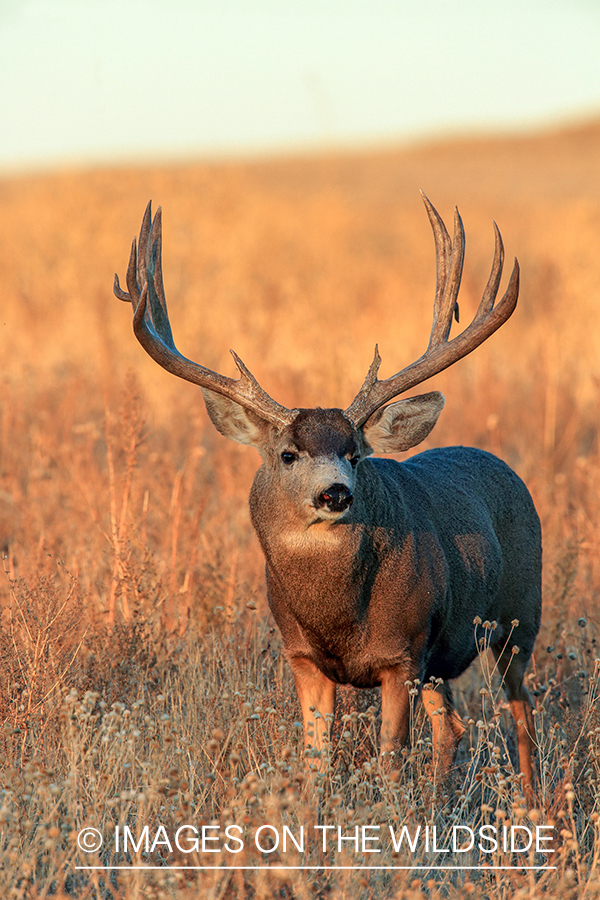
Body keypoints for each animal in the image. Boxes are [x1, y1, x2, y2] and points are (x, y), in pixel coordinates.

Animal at [115, 195, 540, 788]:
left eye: (356, 454)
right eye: (288, 454)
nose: (335, 494)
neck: (336, 615)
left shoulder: (401, 654)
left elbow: (390, 759)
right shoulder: (303, 657)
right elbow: (315, 758)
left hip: (519, 617)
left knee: (522, 715)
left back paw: (534, 800)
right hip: (443, 660)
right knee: (453, 728)